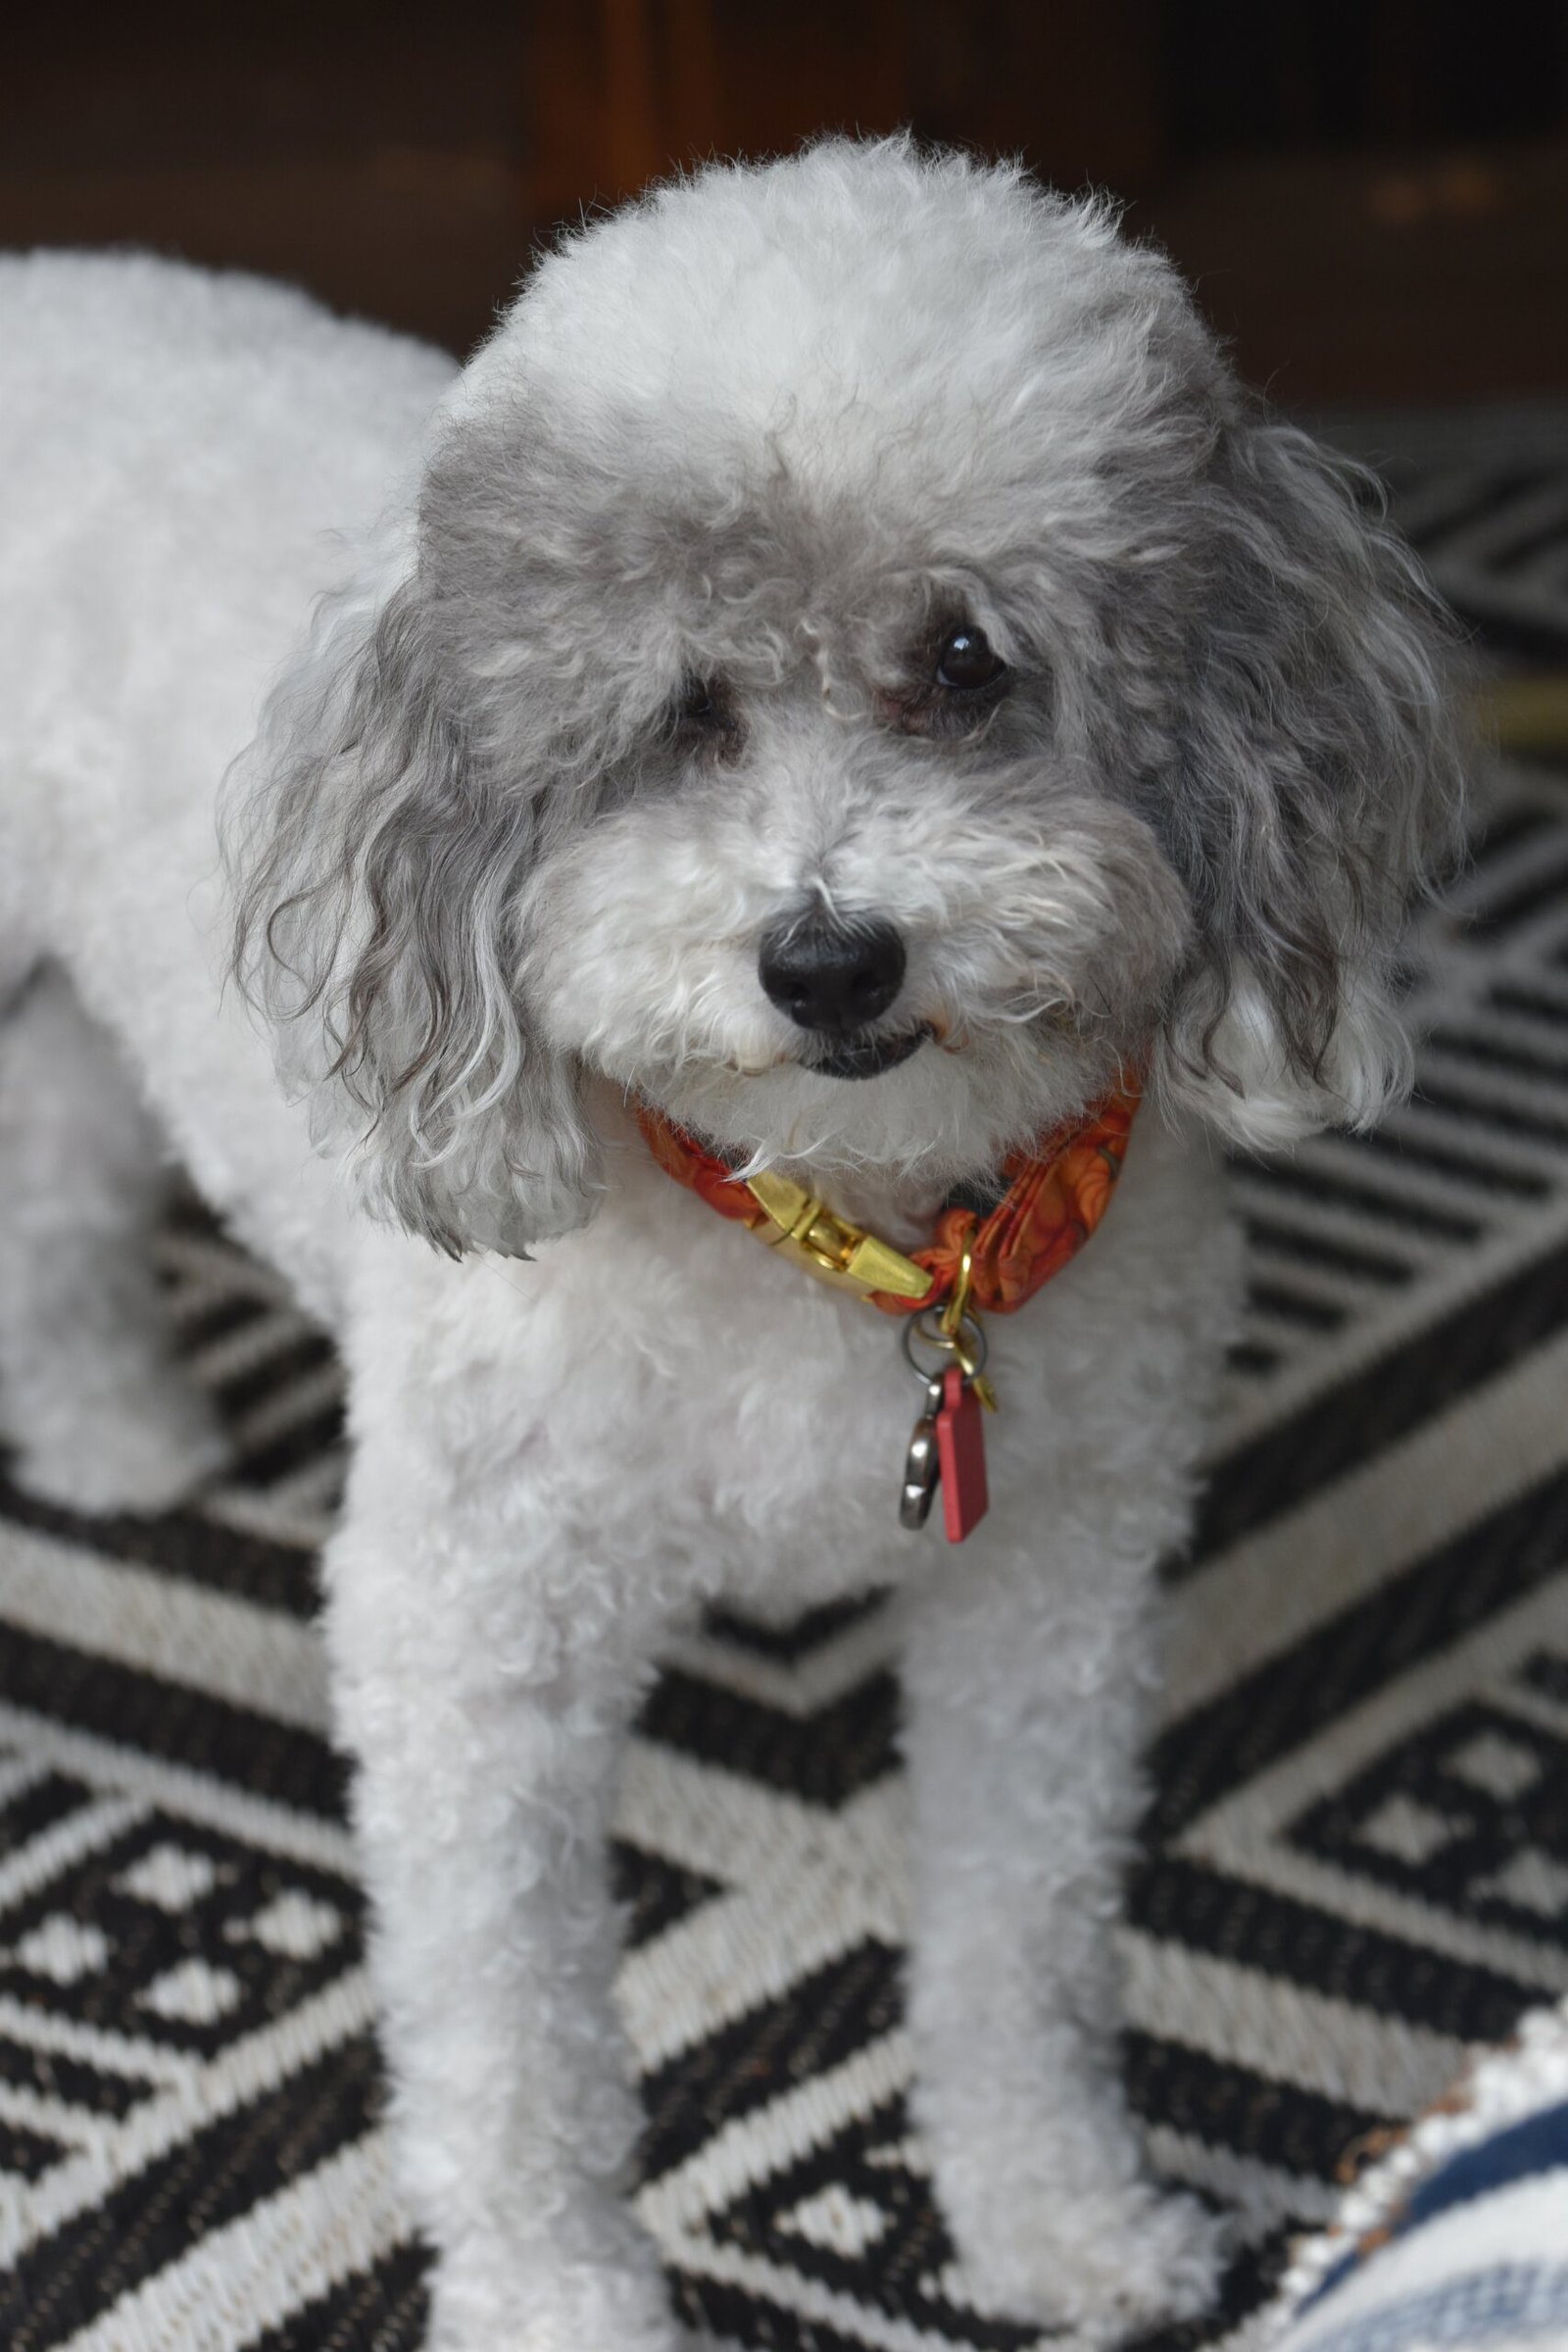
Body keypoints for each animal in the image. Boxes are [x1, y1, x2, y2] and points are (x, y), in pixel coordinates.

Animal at [3, 137, 1476, 2342]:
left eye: (962, 662)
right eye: (679, 709)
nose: (828, 956)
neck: (842, 1221)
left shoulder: (1050, 1590)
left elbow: (1022, 1939)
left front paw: (1053, 2217)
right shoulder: (474, 1638)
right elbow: (511, 2045)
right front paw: (560, 2299)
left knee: (57, 1152)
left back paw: (112, 1428)